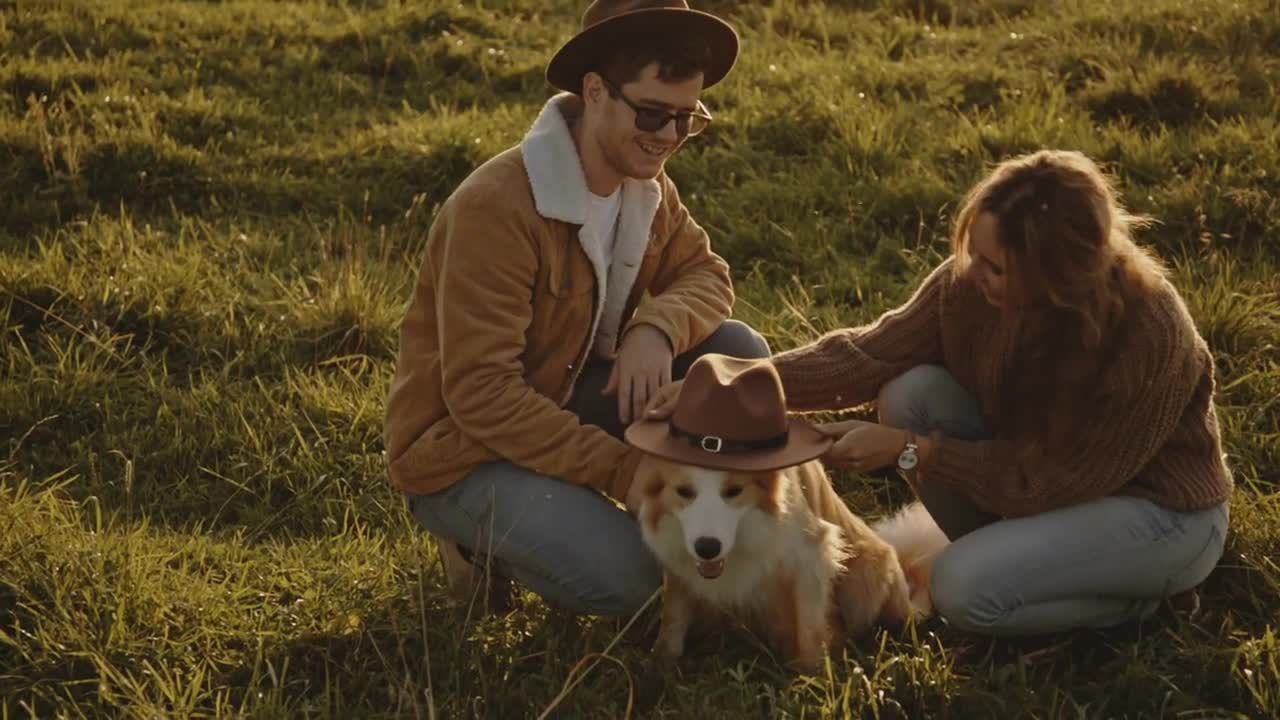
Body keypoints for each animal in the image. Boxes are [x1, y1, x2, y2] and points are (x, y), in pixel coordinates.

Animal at [634, 450, 916, 671]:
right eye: (684, 492)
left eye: (734, 491)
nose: (707, 548)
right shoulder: (678, 560)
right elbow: (673, 616)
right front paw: (661, 664)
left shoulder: (812, 554)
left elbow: (811, 628)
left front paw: (812, 677)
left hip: (868, 575)